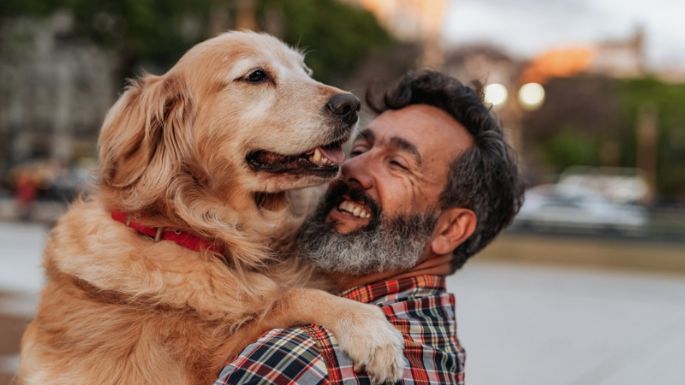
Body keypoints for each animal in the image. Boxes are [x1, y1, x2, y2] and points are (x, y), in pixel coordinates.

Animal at [16, 32, 404, 384]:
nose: (350, 105)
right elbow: (290, 297)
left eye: (304, 70)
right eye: (256, 76)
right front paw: (371, 329)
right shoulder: (196, 366)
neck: (196, 233)